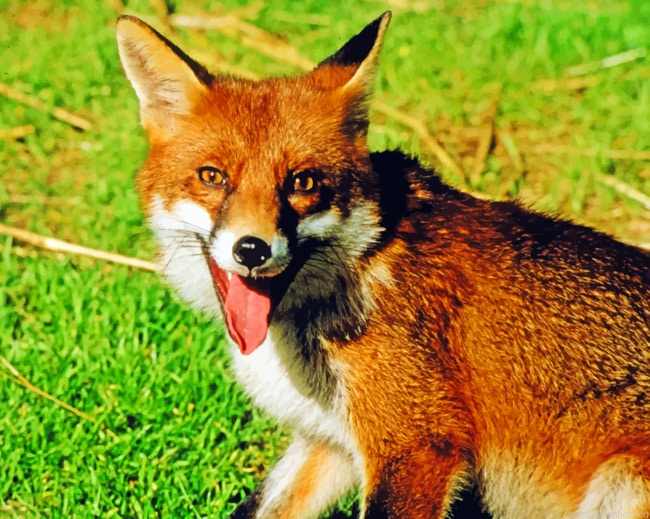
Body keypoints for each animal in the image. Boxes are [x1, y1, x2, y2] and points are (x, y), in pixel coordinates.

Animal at [116, 11, 650, 519]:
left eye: (303, 183)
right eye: (213, 177)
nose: (252, 249)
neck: (360, 265)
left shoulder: (416, 442)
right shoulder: (329, 441)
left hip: (620, 485)